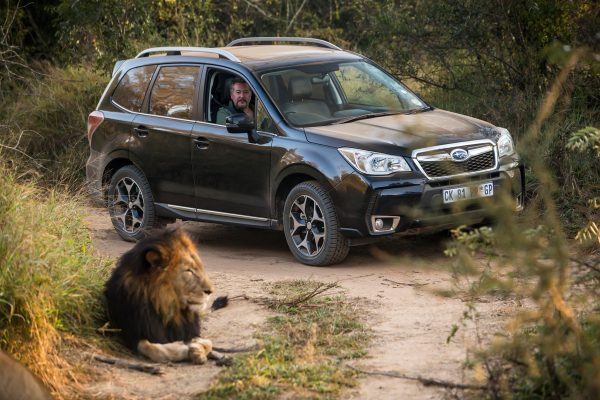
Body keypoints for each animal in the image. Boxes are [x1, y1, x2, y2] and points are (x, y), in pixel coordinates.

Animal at [103, 228, 227, 362]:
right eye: (188, 271)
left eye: (200, 267)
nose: (211, 291)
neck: (166, 306)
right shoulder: (133, 332)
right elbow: (151, 348)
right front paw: (184, 348)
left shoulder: (191, 330)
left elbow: (208, 343)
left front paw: (198, 350)